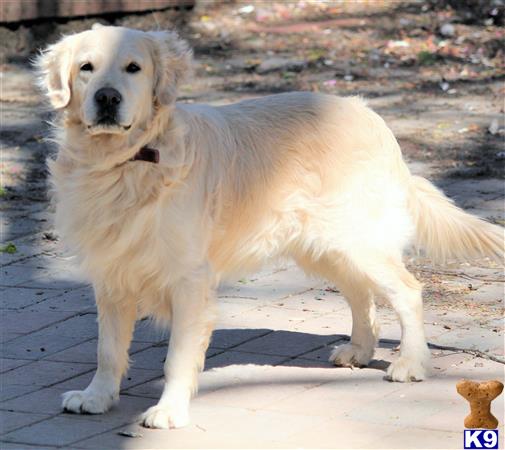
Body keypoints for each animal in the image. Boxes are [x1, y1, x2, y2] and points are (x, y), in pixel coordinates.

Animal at [34, 25, 500, 428]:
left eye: (133, 67)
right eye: (86, 68)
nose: (107, 98)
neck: (127, 164)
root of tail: (367, 112)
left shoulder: (188, 278)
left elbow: (177, 356)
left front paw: (169, 411)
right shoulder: (113, 273)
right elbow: (108, 350)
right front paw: (96, 397)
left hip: (357, 239)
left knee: (406, 291)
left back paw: (410, 363)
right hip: (324, 245)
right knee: (360, 294)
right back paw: (359, 350)